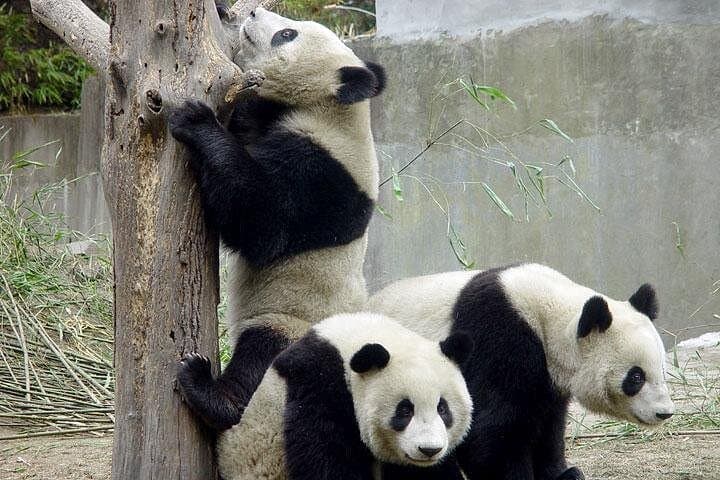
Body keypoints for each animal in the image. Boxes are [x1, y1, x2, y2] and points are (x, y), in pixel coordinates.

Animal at [169, 6, 385, 430]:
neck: (330, 108)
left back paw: (211, 392)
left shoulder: (324, 173)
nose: (252, 11)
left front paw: (195, 120)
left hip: (292, 320)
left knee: (262, 357)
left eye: (287, 34)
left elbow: (262, 223)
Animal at [367, 263, 675, 480]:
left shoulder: (548, 380)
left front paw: (565, 475)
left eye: (662, 370)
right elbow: (490, 431)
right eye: (636, 377)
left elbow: (548, 427)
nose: (665, 413)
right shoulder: (495, 338)